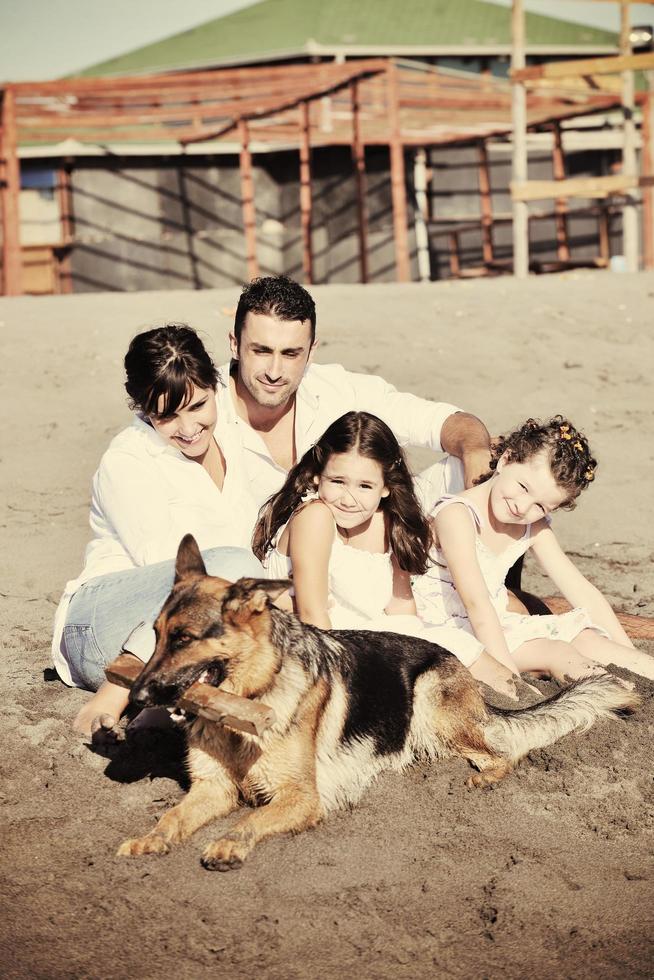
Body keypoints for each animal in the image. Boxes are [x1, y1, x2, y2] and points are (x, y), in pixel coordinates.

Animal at [119, 536, 640, 872]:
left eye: (184, 639)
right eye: (155, 635)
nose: (134, 699)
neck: (251, 696)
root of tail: (463, 668)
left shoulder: (300, 797)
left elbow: (253, 817)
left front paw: (228, 844)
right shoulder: (212, 789)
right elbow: (172, 815)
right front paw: (149, 838)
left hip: (430, 699)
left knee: (500, 753)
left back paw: (477, 777)